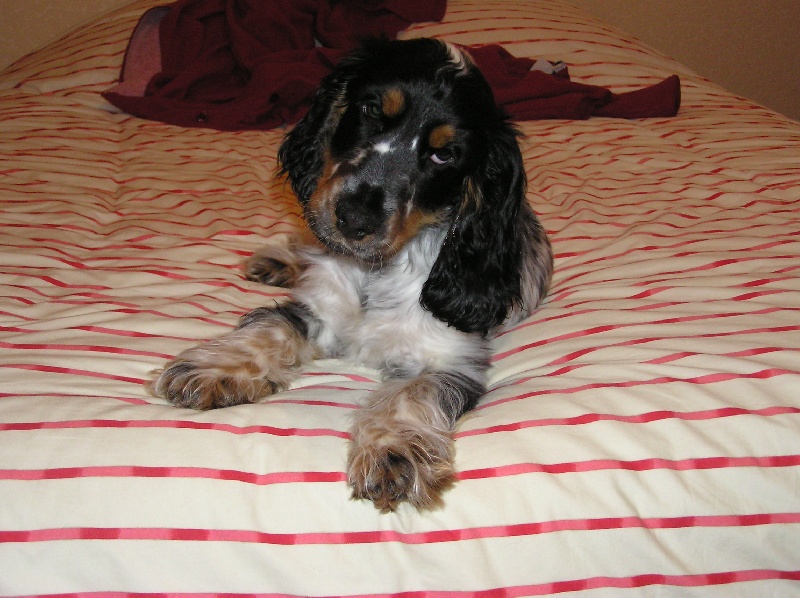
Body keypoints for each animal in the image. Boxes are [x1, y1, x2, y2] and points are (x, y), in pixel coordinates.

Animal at [149, 38, 553, 512]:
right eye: (371, 109)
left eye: (444, 154)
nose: (355, 219)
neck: (376, 271)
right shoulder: (320, 307)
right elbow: (271, 327)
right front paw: (214, 369)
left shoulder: (450, 357)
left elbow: (411, 393)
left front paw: (393, 452)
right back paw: (275, 261)